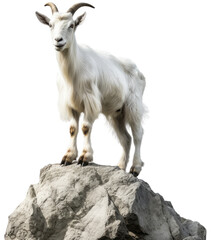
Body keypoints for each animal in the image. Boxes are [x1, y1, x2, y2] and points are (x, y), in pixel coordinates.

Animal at [35, 1, 145, 176]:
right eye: (51, 25)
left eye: (72, 25)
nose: (58, 41)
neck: (73, 72)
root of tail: (140, 72)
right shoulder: (70, 104)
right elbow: (73, 128)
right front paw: (67, 157)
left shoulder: (89, 100)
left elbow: (85, 127)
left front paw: (84, 158)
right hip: (116, 113)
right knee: (125, 138)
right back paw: (120, 167)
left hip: (133, 106)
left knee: (138, 134)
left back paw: (135, 168)